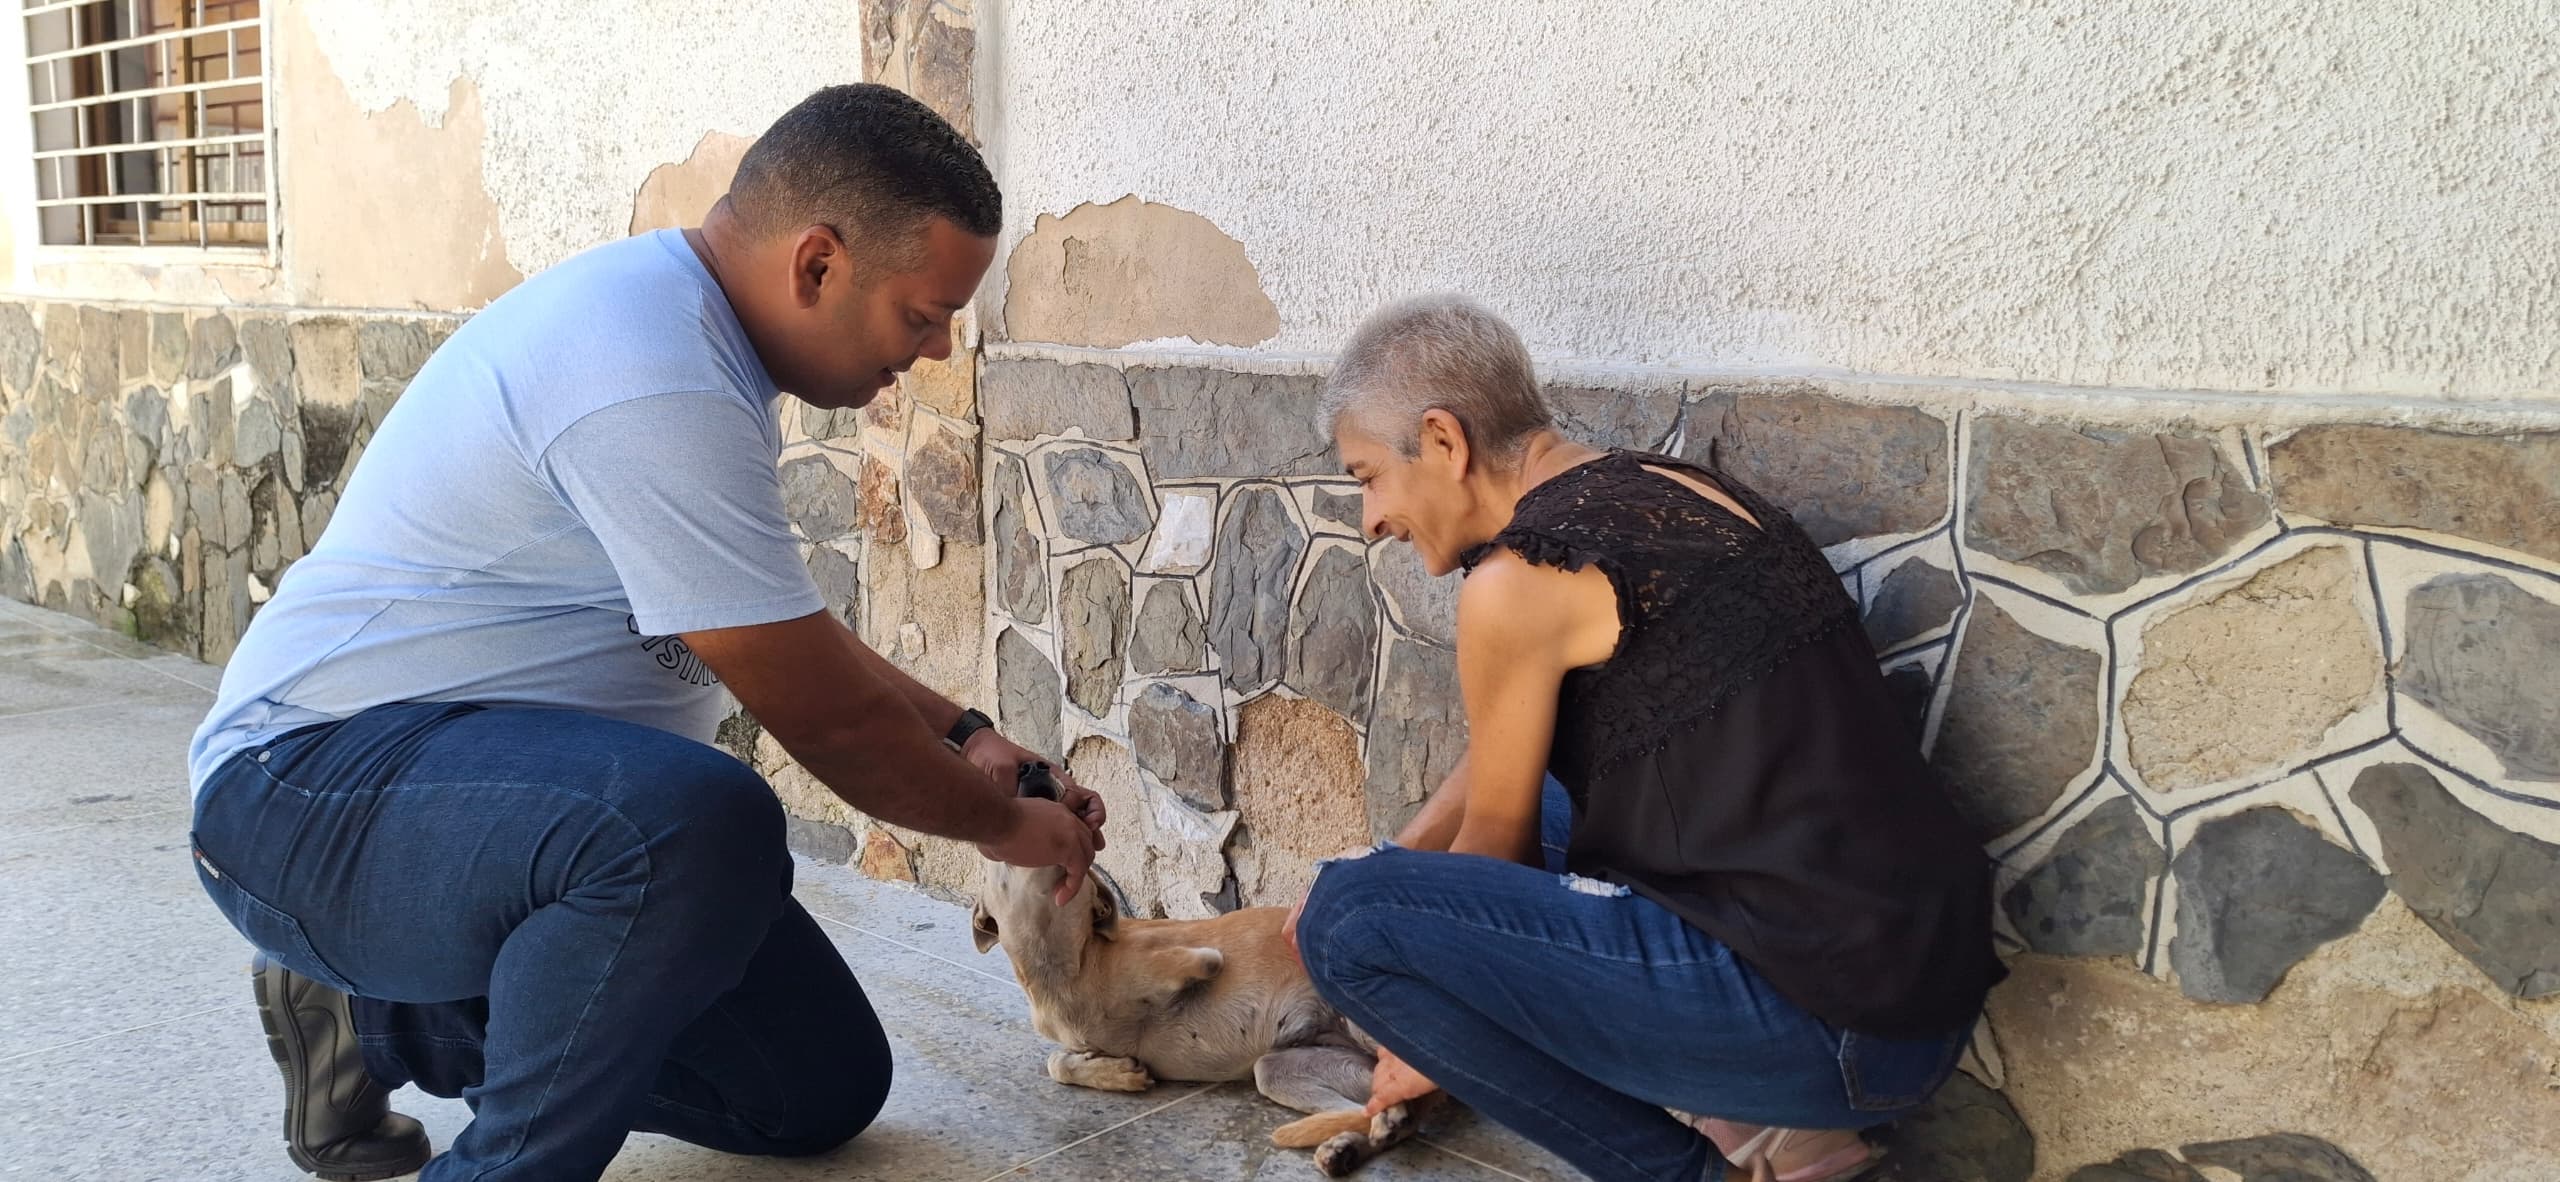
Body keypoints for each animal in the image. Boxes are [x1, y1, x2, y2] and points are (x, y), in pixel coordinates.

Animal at [970, 767, 1429, 1176]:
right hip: (1279, 1071)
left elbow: (1195, 960)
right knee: (1376, 1110)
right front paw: (1113, 1072)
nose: (1033, 766)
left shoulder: (1199, 955)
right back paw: (1354, 1141)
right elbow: (1056, 1062)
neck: (1064, 965)